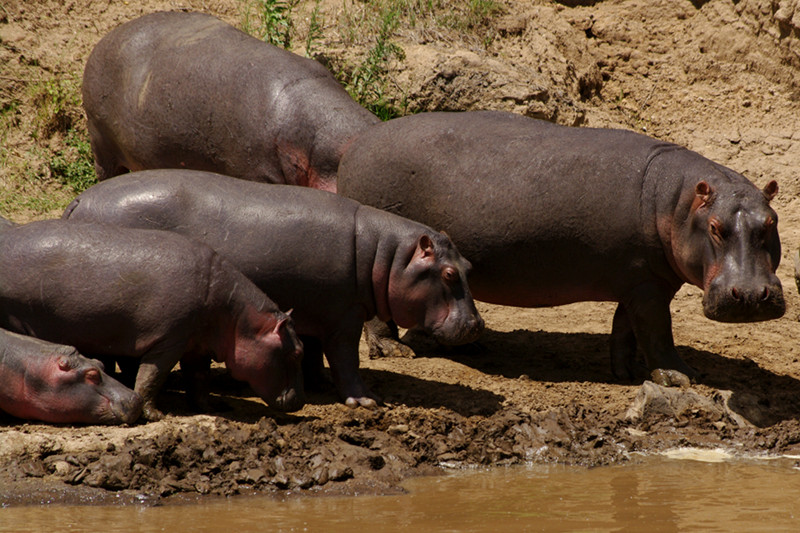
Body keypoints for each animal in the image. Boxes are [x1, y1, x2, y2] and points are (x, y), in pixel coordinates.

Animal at [62, 170, 484, 408]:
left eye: (468, 266)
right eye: (449, 274)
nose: (477, 325)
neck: (387, 255)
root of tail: (78, 200)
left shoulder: (315, 314)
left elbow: (312, 353)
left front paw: (318, 383)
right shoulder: (344, 319)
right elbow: (346, 360)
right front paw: (366, 400)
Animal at [334, 110, 784, 384]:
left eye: (771, 222)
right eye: (715, 228)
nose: (750, 296)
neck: (677, 202)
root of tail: (356, 143)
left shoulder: (640, 281)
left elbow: (626, 328)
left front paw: (625, 373)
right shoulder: (649, 288)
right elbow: (658, 332)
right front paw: (679, 376)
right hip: (388, 251)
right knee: (381, 308)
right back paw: (394, 351)